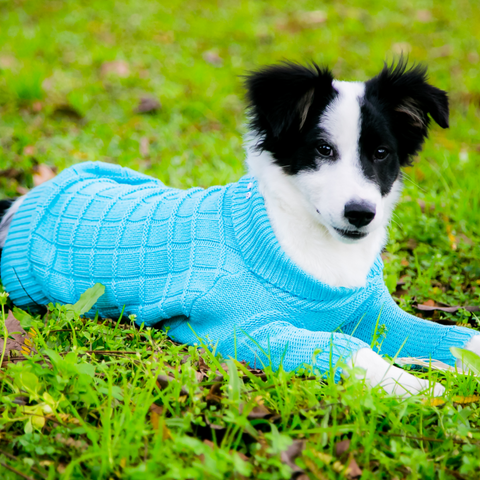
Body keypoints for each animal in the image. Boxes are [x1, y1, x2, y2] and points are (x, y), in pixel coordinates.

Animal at [0, 60, 480, 394]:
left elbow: (459, 337)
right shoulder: (237, 328)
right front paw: (419, 386)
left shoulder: (373, 313)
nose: (361, 213)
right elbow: (351, 351)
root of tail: (25, 203)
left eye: (381, 153)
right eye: (322, 150)